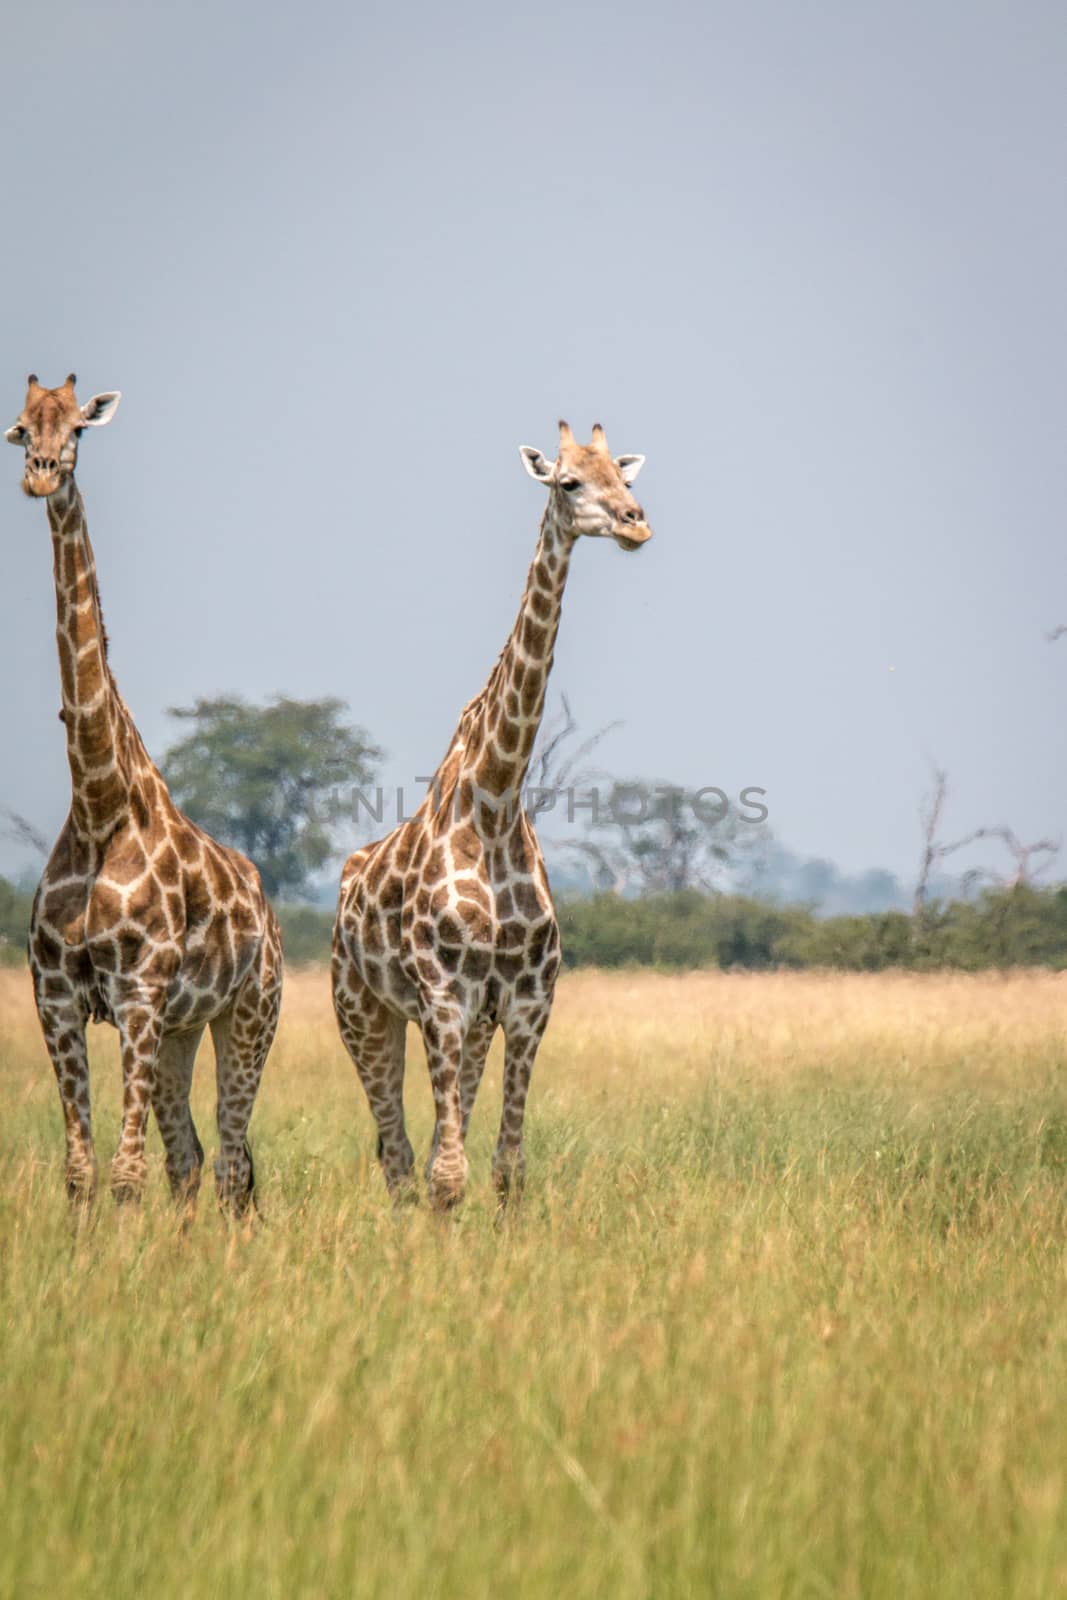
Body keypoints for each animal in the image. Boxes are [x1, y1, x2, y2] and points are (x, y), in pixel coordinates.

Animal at [6, 377, 281, 1209]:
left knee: (231, 1160)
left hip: (248, 1012)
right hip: (184, 1028)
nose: (41, 475)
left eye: (78, 431)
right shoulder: (56, 994)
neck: (99, 803)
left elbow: (126, 1173)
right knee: (191, 1156)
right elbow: (82, 1169)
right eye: (20, 427)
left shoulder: (139, 990)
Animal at [334, 419, 652, 1203]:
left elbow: (506, 1168)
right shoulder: (443, 998)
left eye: (624, 476)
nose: (636, 523)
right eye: (568, 481)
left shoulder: (527, 1004)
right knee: (398, 1153)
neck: (497, 802)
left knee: (427, 1146)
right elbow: (448, 1174)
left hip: (464, 1025)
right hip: (363, 1009)